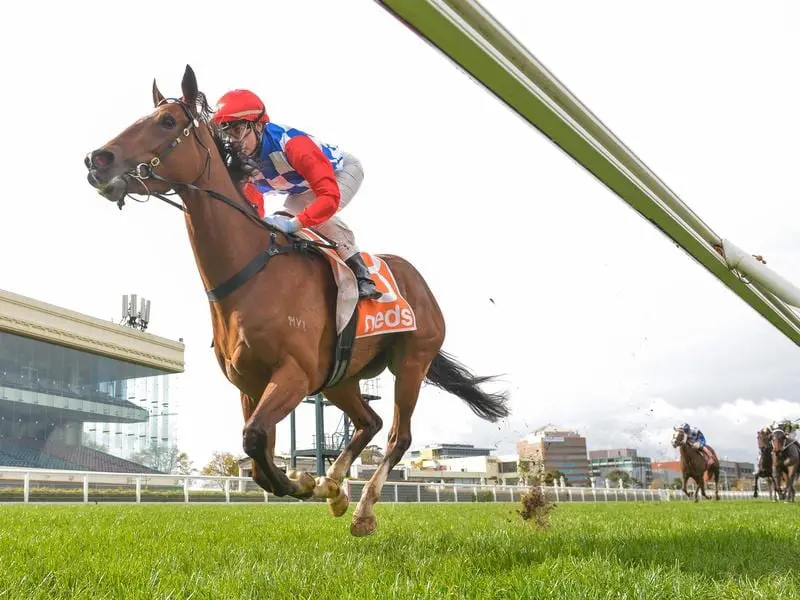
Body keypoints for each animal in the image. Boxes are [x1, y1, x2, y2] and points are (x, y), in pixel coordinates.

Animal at [84, 64, 510, 536]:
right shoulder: (250, 385)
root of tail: (419, 282)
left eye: (167, 122)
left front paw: (305, 481)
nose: (97, 160)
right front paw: (316, 483)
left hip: (411, 362)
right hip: (341, 377)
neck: (250, 274)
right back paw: (336, 486)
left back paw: (362, 510)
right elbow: (256, 458)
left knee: (398, 435)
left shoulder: (295, 375)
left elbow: (255, 441)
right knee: (370, 422)